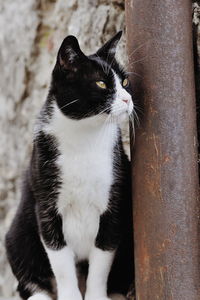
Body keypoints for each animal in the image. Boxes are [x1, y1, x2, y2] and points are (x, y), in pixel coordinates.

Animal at [5, 31, 134, 300]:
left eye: (125, 82)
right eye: (101, 84)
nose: (128, 99)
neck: (85, 137)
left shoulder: (114, 202)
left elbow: (102, 258)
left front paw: (96, 296)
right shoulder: (46, 204)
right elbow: (60, 258)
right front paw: (70, 295)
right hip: (18, 232)